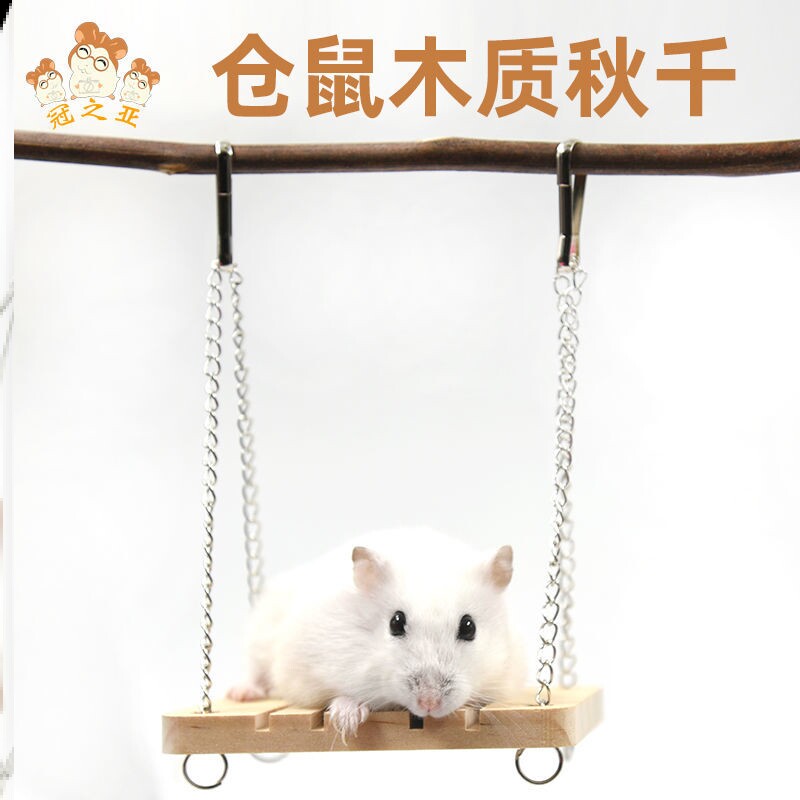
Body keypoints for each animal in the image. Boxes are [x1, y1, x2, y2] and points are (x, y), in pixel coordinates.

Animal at [227, 527, 527, 740]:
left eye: (469, 627)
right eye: (395, 623)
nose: (429, 704)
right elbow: (339, 694)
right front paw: (348, 721)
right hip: (261, 634)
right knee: (254, 671)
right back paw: (240, 694)